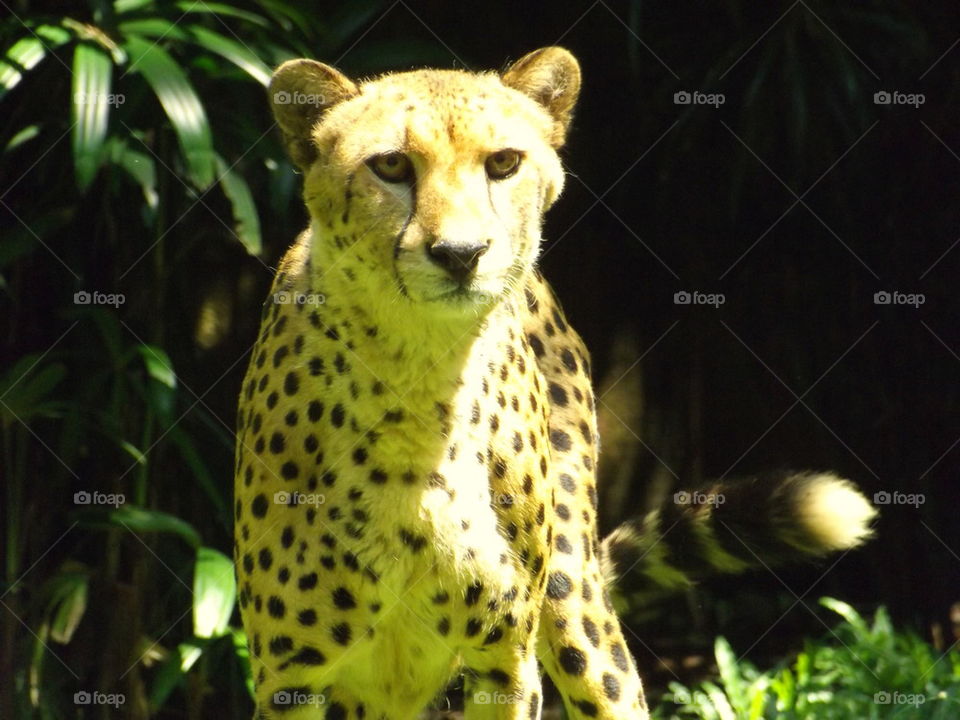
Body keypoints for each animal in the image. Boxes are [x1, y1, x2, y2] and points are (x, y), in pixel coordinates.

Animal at [233, 47, 878, 720]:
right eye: (390, 165)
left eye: (503, 162)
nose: (461, 253)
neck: (421, 381)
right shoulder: (290, 678)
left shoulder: (505, 661)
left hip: (573, 606)